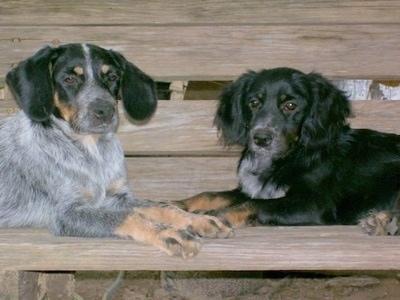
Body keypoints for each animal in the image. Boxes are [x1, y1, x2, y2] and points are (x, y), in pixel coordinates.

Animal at [176, 68, 400, 234]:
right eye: (254, 103)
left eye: (291, 105)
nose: (261, 139)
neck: (291, 155)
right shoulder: (251, 190)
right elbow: (210, 194)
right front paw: (177, 204)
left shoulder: (314, 205)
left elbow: (254, 204)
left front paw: (212, 217)